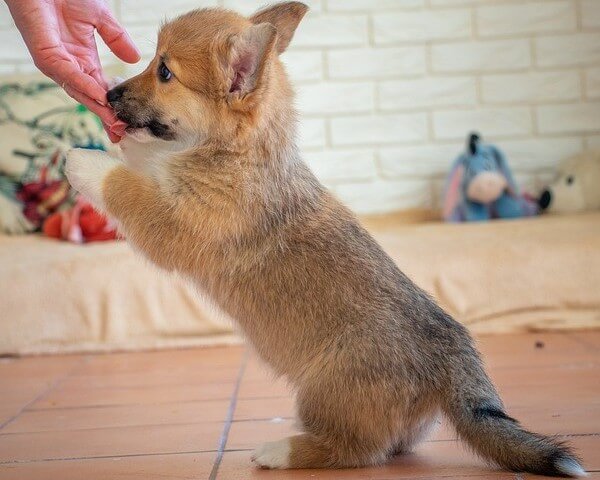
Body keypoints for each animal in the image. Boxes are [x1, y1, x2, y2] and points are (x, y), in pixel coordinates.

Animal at [65, 2, 584, 476]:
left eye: (165, 71)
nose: (108, 93)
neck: (234, 151)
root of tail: (453, 358)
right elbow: (142, 165)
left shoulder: (173, 221)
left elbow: (123, 186)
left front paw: (84, 160)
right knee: (391, 443)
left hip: (323, 392)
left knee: (356, 450)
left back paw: (279, 451)